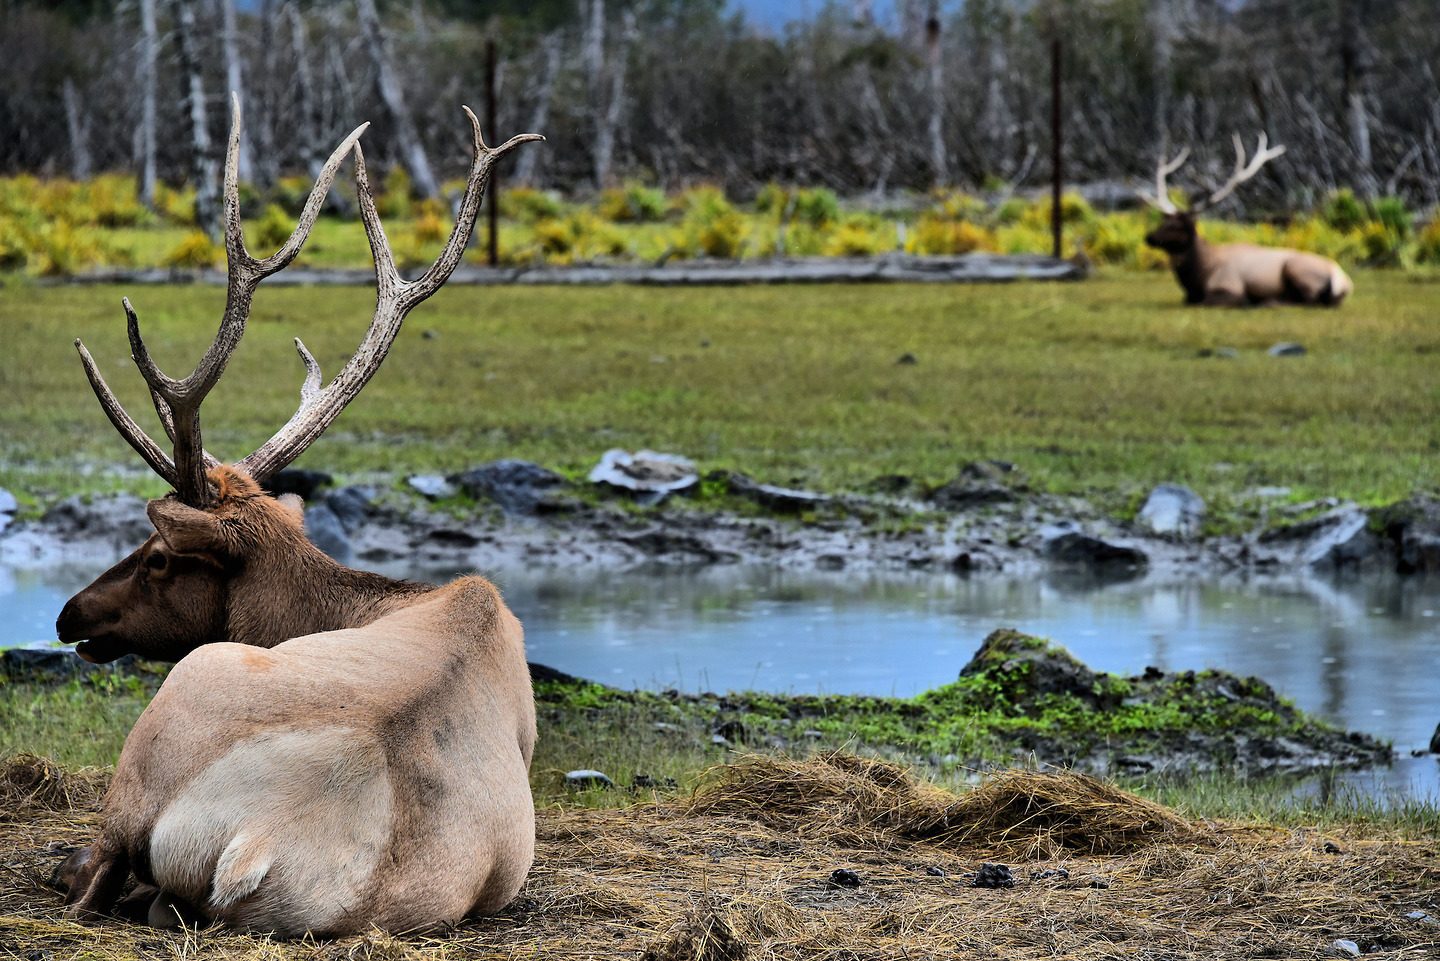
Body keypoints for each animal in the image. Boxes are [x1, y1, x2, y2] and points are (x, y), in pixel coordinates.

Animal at [1142, 134, 1353, 307]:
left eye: (1176, 226)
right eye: (1163, 220)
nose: (1148, 237)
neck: (1198, 276)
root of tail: (1343, 281)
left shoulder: (1229, 286)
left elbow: (1207, 302)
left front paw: (1247, 301)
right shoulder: (1190, 295)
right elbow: (1188, 301)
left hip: (1297, 268)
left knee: (1310, 300)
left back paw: (1268, 302)